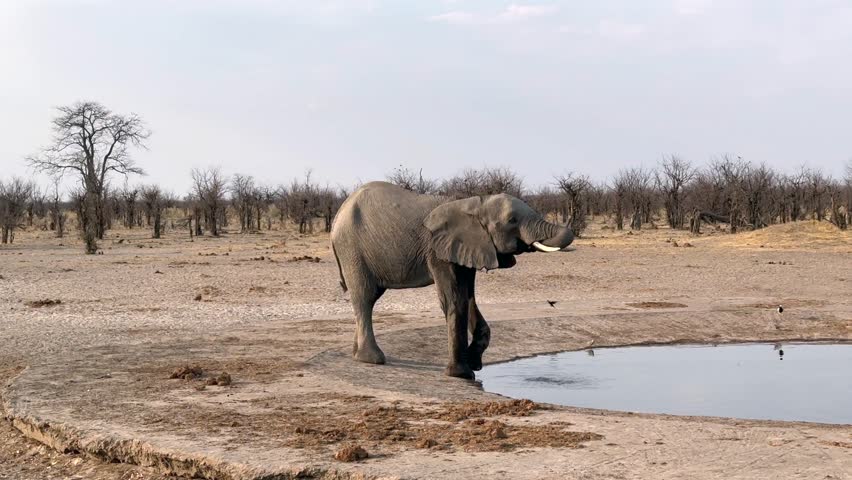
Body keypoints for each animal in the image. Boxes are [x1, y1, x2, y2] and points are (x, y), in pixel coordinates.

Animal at [330, 181, 574, 379]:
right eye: (512, 220)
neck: (474, 204)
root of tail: (337, 215)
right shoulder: (438, 250)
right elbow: (453, 300)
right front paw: (462, 374)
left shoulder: (470, 247)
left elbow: (468, 298)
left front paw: (474, 363)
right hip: (352, 249)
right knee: (365, 297)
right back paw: (372, 359)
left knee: (368, 299)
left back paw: (357, 355)